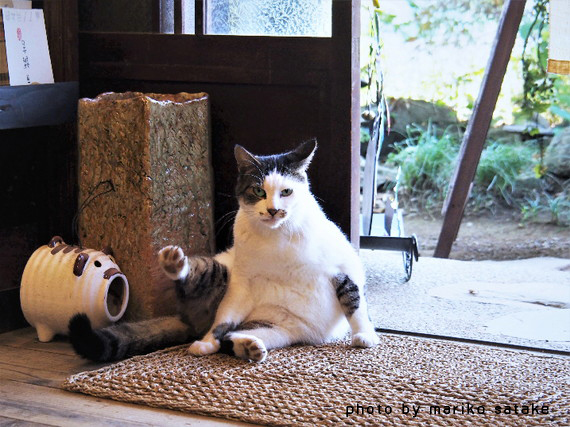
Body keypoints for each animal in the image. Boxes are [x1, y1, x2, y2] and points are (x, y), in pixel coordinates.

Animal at [69, 140, 380, 362]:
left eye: (287, 192)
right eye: (258, 191)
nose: (273, 210)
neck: (276, 240)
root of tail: (188, 321)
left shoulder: (340, 269)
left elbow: (354, 302)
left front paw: (364, 336)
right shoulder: (241, 282)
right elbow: (224, 318)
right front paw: (207, 342)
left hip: (279, 329)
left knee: (236, 335)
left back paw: (249, 347)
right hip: (222, 272)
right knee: (221, 322)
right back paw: (177, 267)